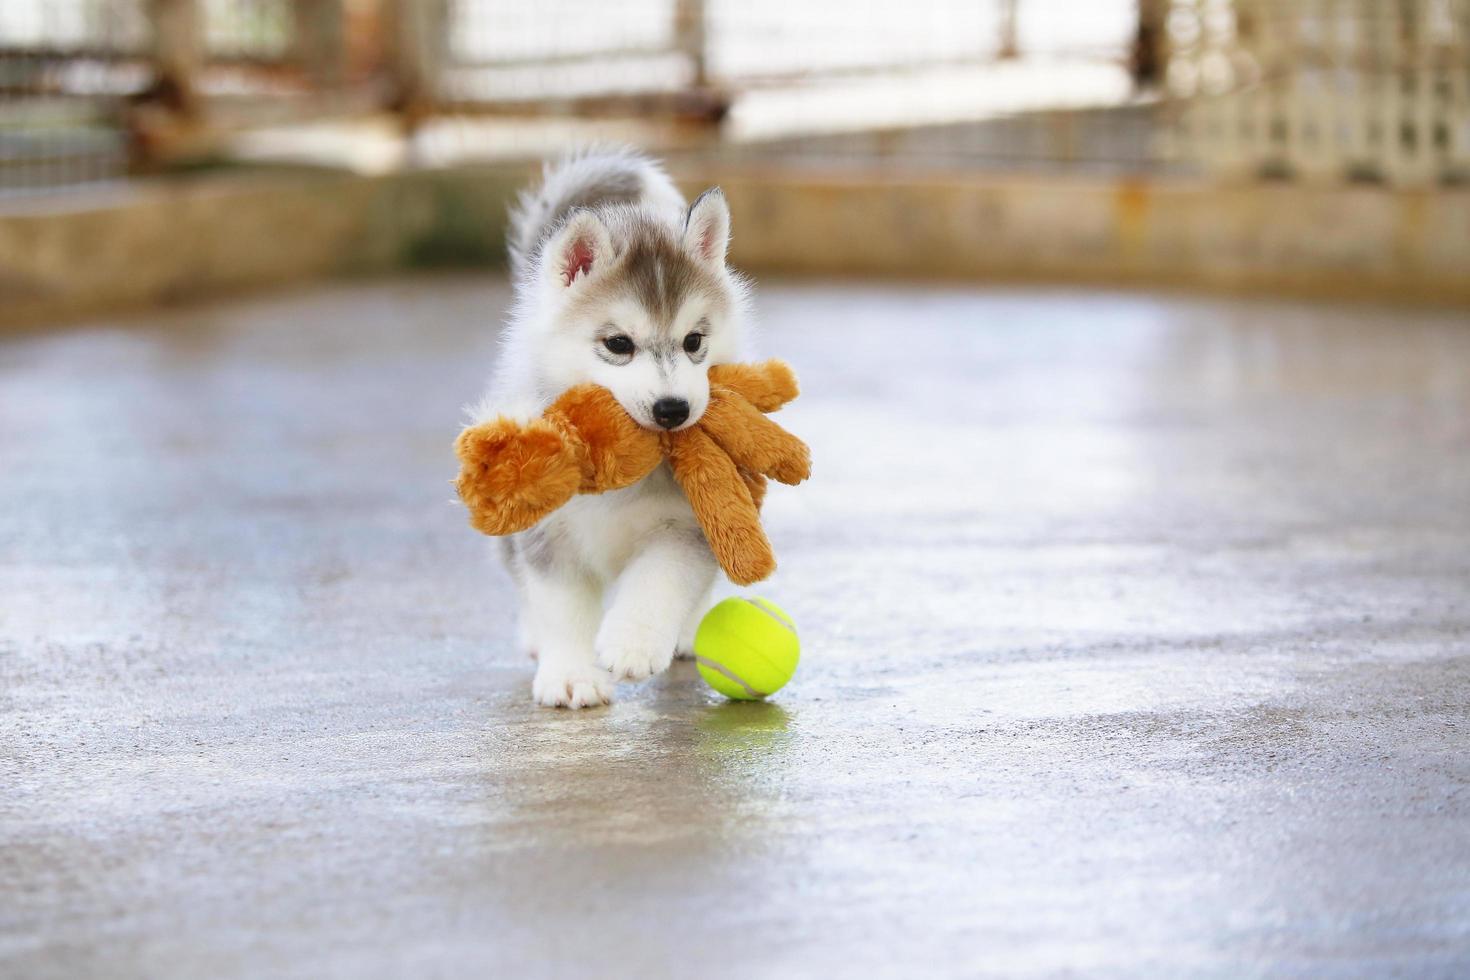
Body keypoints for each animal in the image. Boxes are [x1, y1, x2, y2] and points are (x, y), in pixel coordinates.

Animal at [467, 149, 746, 708]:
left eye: (694, 341)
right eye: (619, 344)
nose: (673, 409)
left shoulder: (686, 524)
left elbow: (660, 579)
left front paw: (633, 643)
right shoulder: (547, 532)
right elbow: (562, 606)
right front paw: (571, 674)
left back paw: (686, 633)